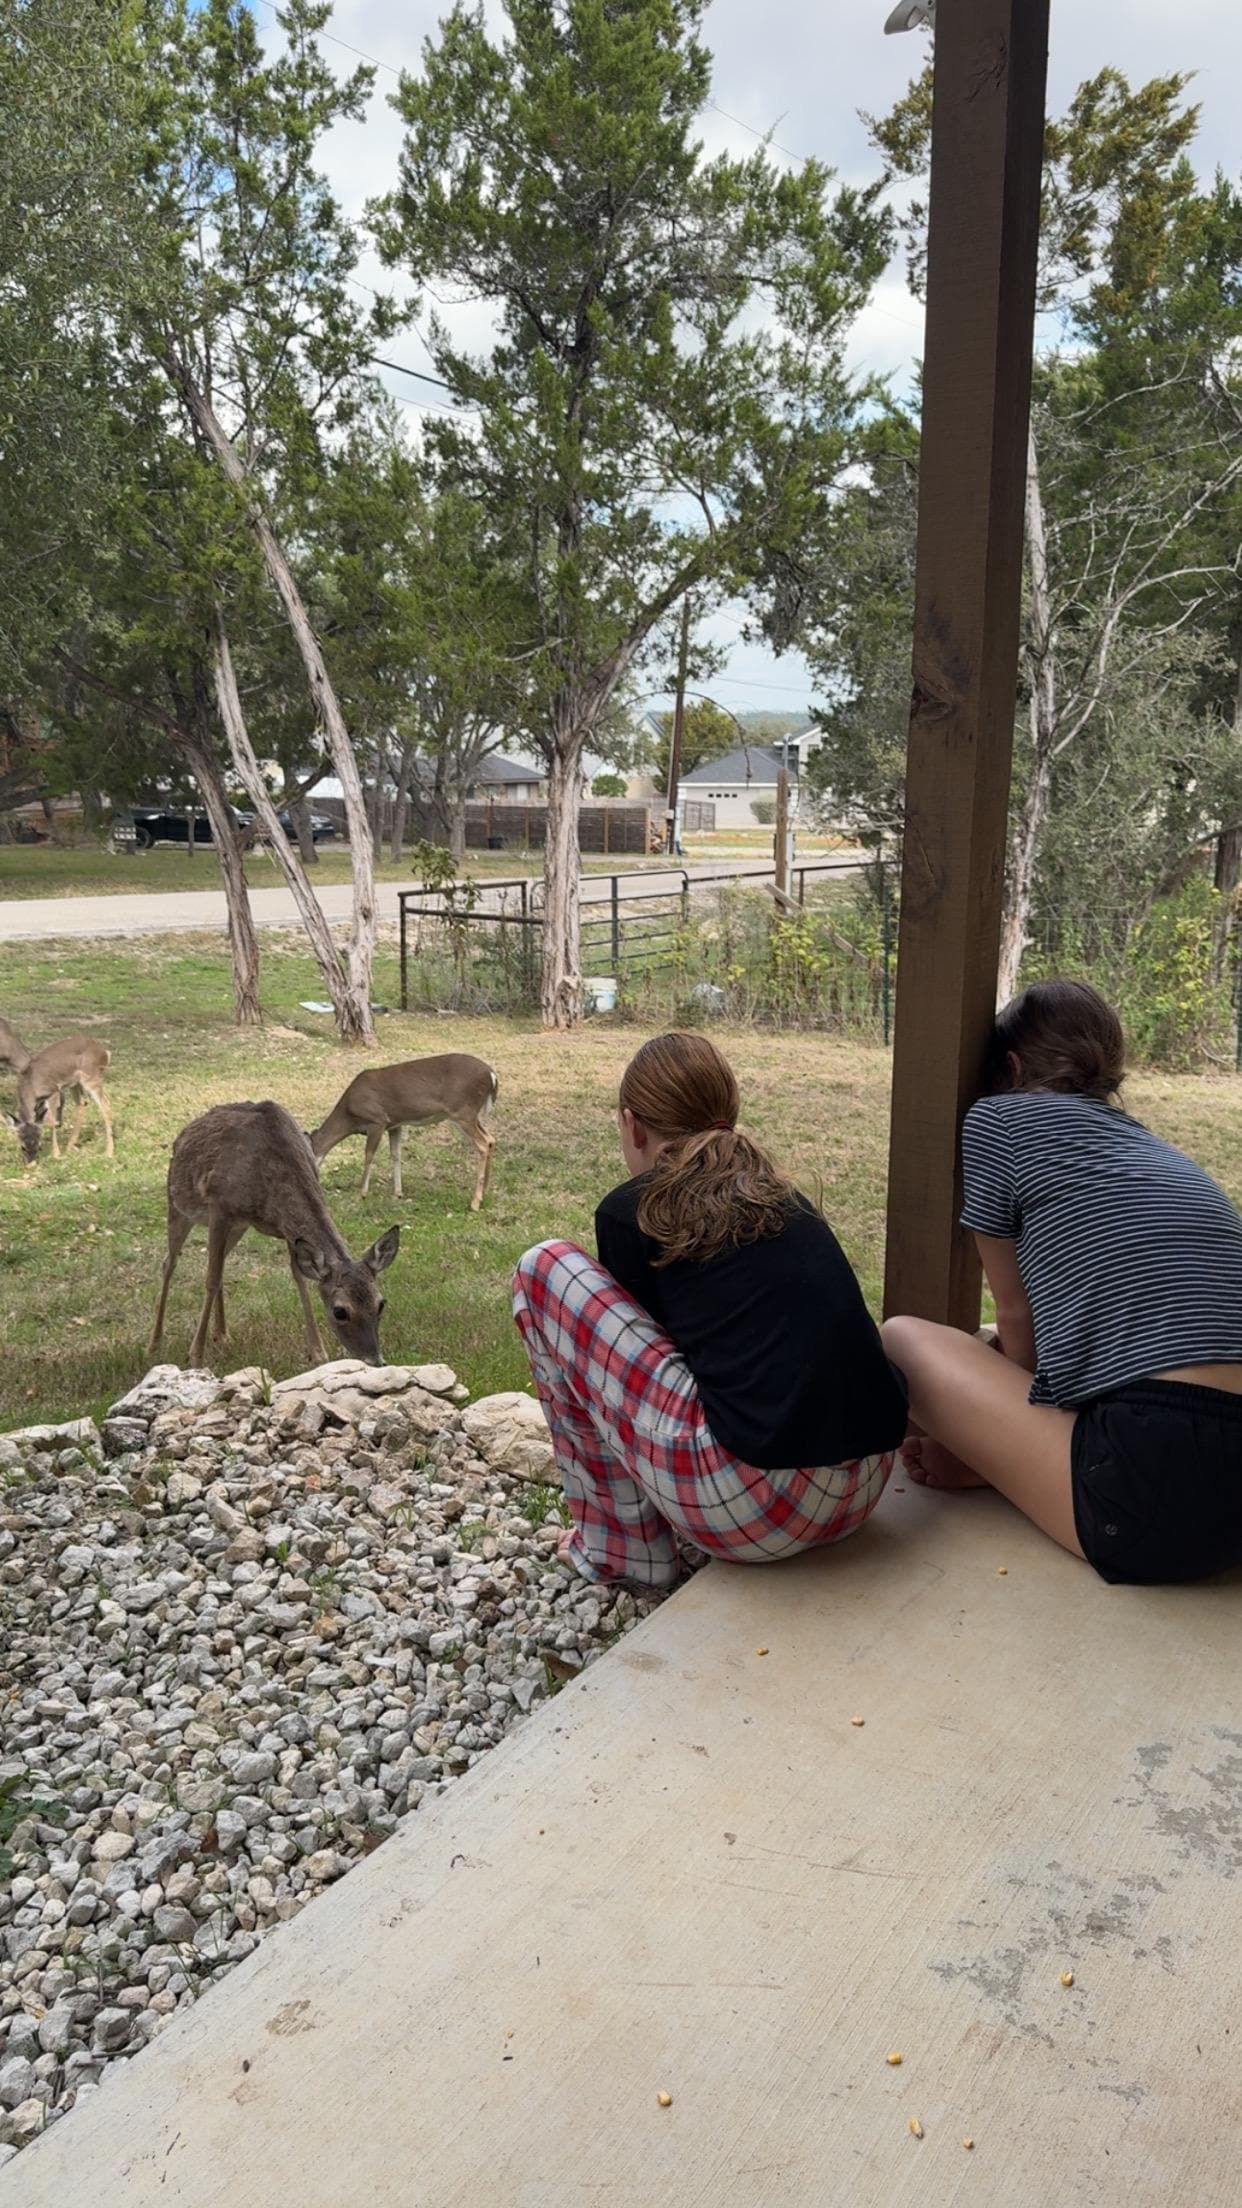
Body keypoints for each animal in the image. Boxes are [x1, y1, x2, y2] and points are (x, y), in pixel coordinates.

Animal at [1, 1022, 114, 1165]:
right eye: (22, 1147)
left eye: (39, 1145)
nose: (31, 1164)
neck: (30, 1084)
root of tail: (105, 1052)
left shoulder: (53, 1091)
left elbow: (50, 1121)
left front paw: (56, 1154)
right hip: (75, 1083)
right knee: (82, 1103)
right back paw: (71, 1146)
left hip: (91, 1078)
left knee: (105, 1104)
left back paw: (109, 1152)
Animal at [150, 1099, 400, 1370]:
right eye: (340, 1311)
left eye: (381, 1304)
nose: (375, 1360)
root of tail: (182, 1134)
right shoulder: (219, 1208)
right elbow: (211, 1279)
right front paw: (195, 1356)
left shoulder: (286, 1229)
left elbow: (299, 1277)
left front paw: (318, 1353)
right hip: (178, 1204)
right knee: (169, 1263)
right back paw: (155, 1342)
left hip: (238, 1226)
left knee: (221, 1263)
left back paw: (223, 1335)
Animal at [309, 1054, 498, 1212]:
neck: (349, 1116)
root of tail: (492, 1075)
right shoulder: (394, 1125)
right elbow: (396, 1155)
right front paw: (398, 1193)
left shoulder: (377, 1120)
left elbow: (369, 1155)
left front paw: (361, 1193)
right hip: (471, 1114)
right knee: (490, 1138)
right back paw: (485, 1192)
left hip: (462, 1111)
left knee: (482, 1144)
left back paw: (475, 1202)